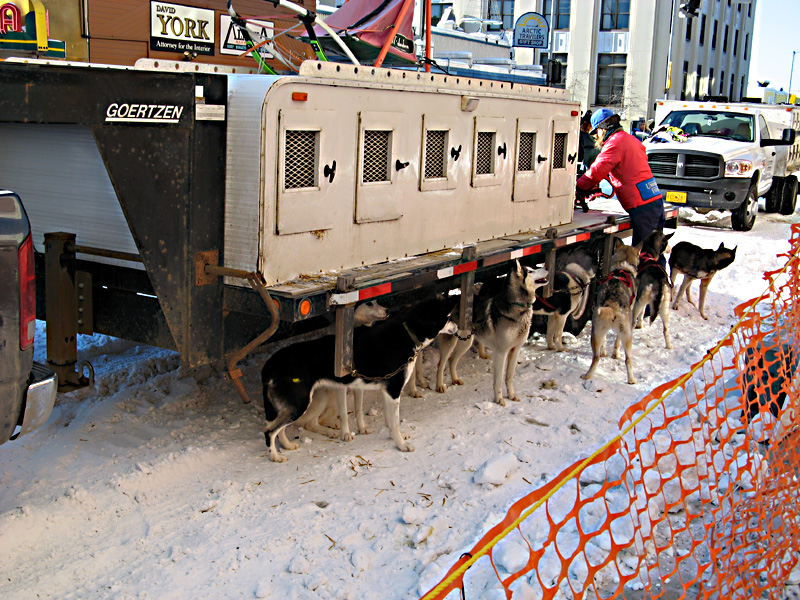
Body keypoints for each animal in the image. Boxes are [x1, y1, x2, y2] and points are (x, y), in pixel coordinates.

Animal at [260, 298, 454, 462]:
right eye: (449, 317)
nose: (457, 327)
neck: (408, 332)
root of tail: (269, 364)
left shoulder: (386, 392)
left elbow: (390, 422)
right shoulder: (393, 390)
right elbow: (395, 423)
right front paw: (401, 445)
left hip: (292, 405)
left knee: (279, 429)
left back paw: (287, 445)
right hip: (299, 403)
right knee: (269, 431)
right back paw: (275, 457)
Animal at [434, 262, 548, 408]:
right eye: (531, 271)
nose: (546, 267)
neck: (517, 306)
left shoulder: (515, 350)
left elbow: (509, 377)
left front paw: (511, 395)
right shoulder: (501, 353)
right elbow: (499, 380)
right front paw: (499, 399)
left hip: (466, 342)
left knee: (452, 360)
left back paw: (455, 379)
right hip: (450, 343)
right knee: (441, 364)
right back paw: (440, 386)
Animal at [580, 240, 640, 384]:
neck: (622, 268)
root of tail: (612, 305)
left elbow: (605, 341)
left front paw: (605, 352)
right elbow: (616, 343)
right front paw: (615, 354)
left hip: (596, 333)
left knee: (599, 356)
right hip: (627, 335)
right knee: (626, 359)